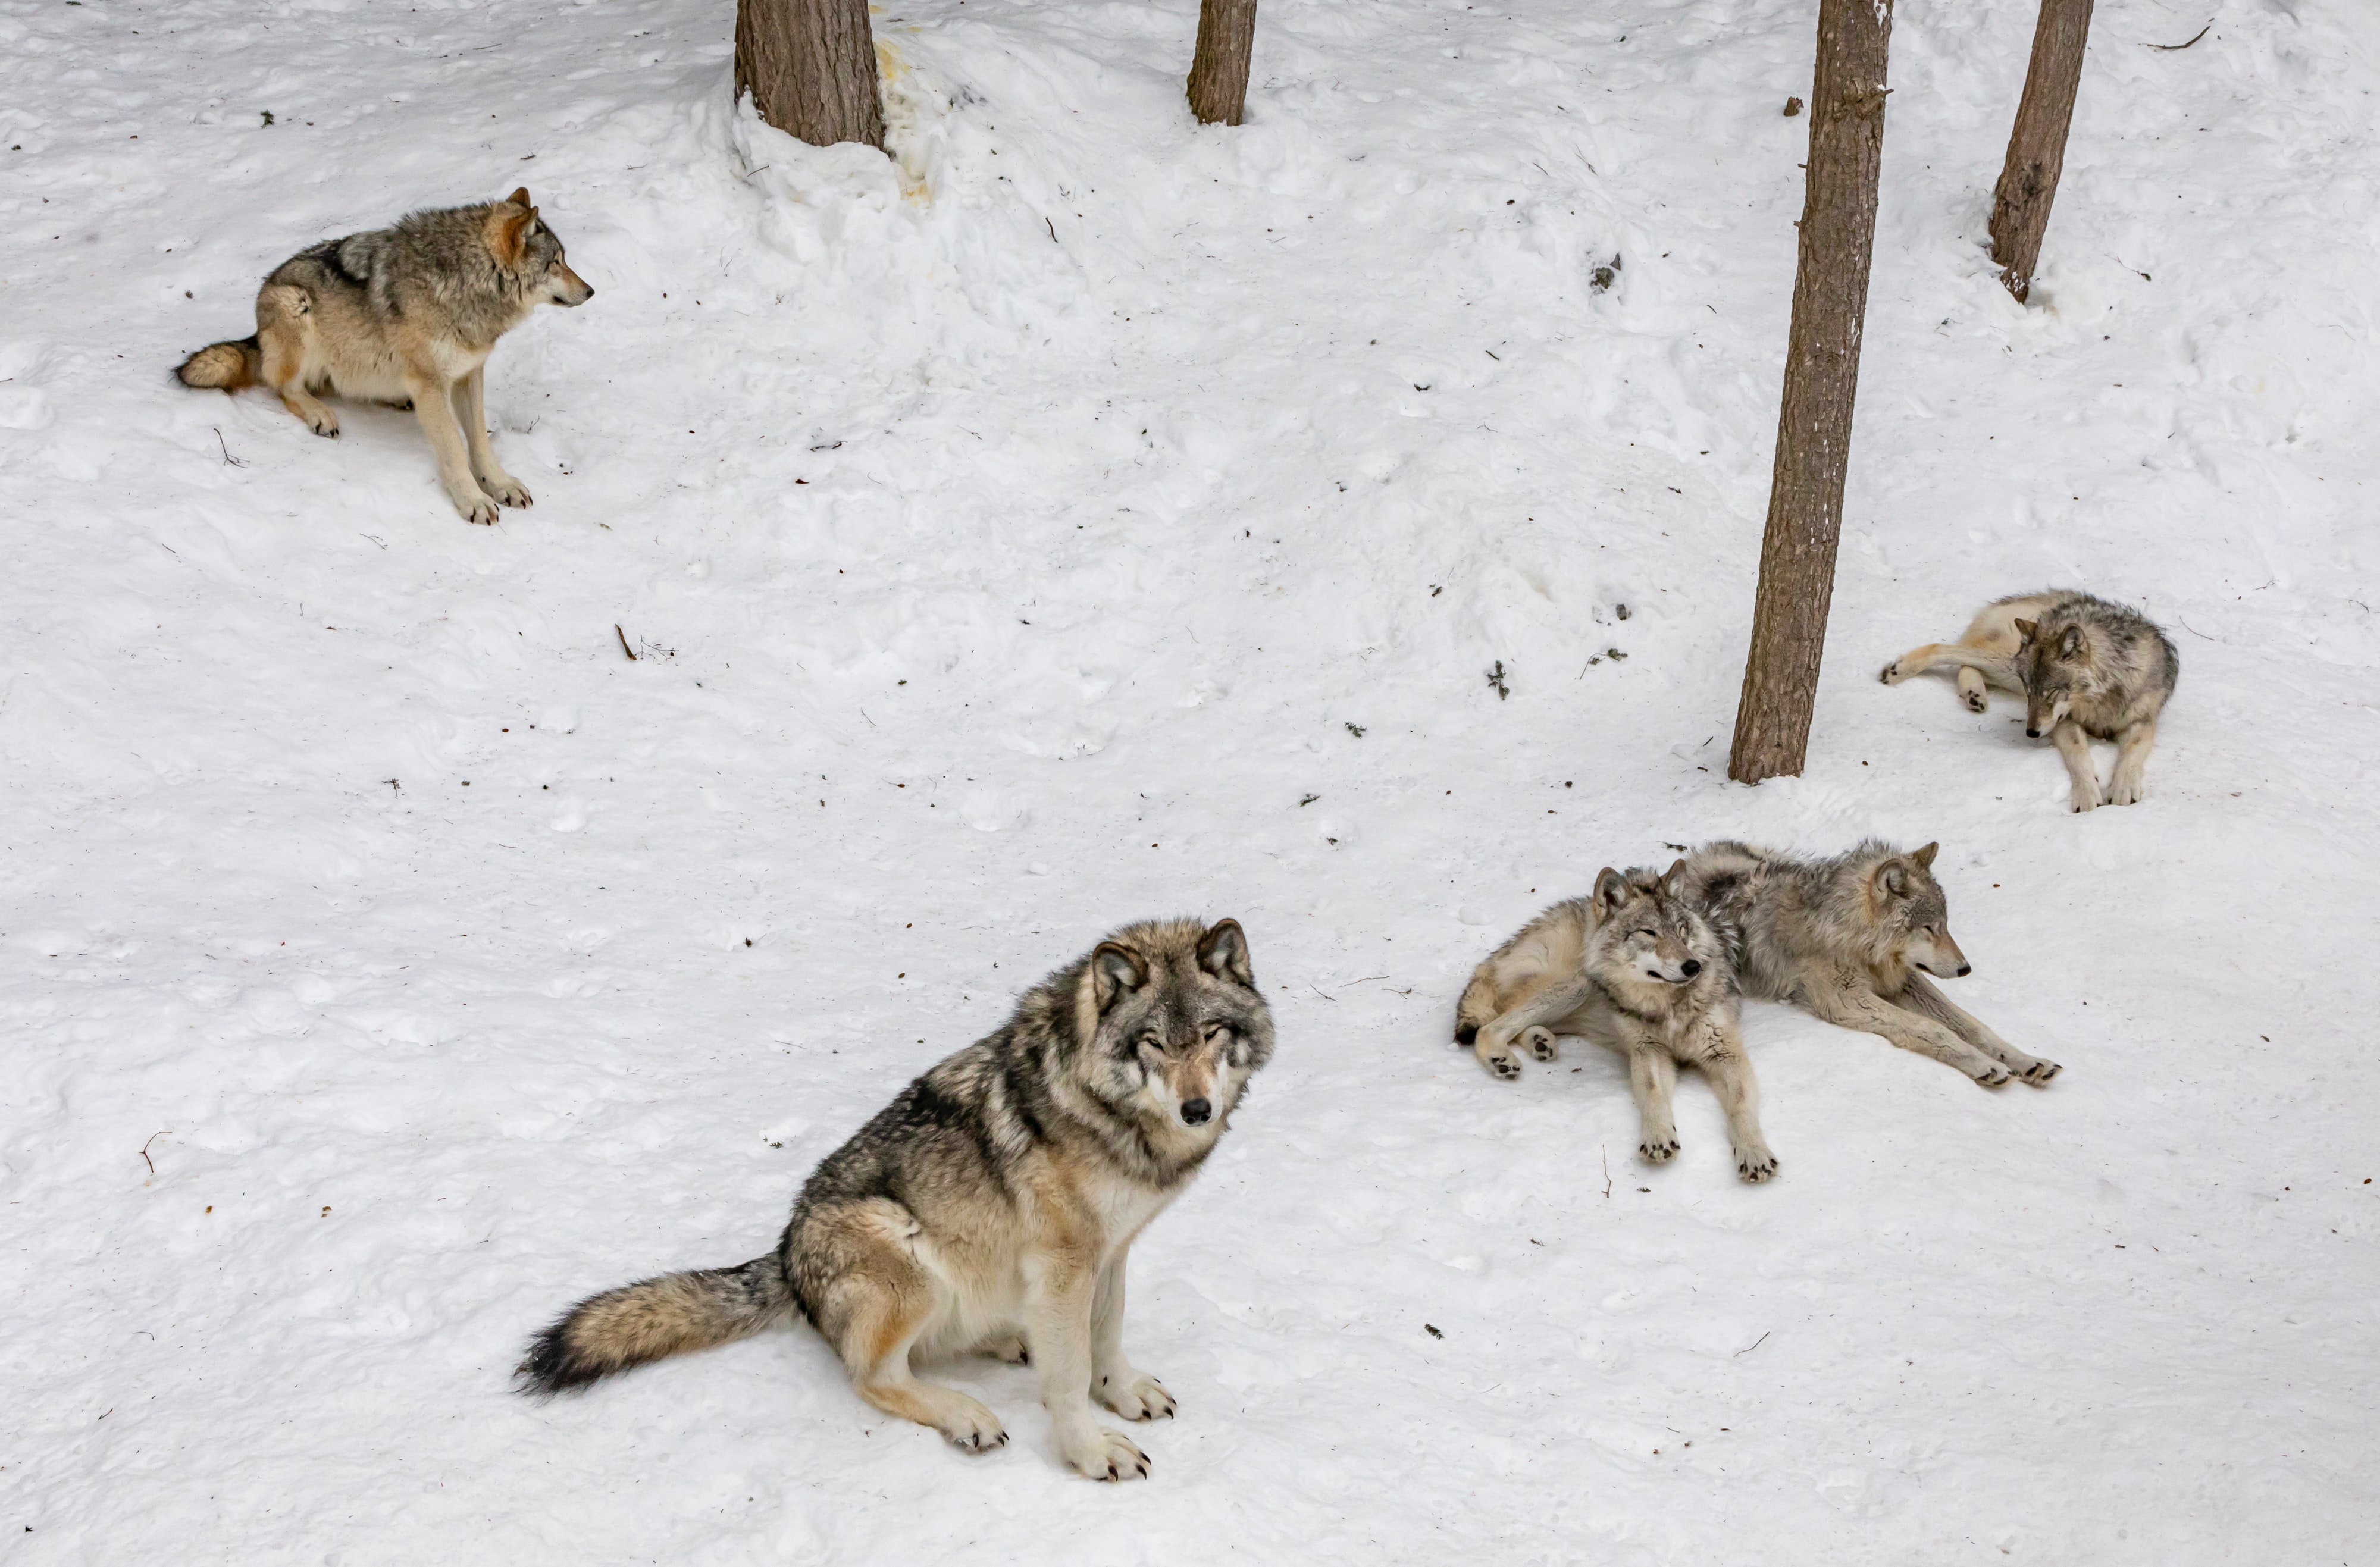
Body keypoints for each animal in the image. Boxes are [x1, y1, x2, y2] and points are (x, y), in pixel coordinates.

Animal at [174, 189, 593, 524]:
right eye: (556, 263)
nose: (591, 291)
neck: (464, 282)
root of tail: (258, 333)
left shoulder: (469, 373)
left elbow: (479, 443)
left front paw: (501, 485)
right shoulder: (432, 384)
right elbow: (456, 451)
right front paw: (472, 501)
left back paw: (394, 399)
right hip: (297, 306)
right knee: (288, 388)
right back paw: (320, 415)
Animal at [517, 918, 1272, 1482]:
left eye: (1211, 1034)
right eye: (1152, 1042)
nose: (1198, 1109)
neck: (1108, 1111)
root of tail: (784, 1259)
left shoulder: (1110, 1252)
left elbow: (1105, 1336)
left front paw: (1121, 1393)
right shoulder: (1067, 1267)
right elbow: (1068, 1375)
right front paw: (1089, 1453)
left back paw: (1008, 1339)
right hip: (906, 1253)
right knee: (871, 1378)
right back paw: (969, 1415)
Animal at [1454, 865, 1777, 1182]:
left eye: (1681, 930)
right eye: (1649, 932)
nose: (1693, 966)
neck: (1667, 1005)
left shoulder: (1726, 1053)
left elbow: (1740, 1106)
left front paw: (1754, 1153)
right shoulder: (1649, 1051)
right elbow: (1652, 1094)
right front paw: (1658, 1138)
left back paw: (1539, 1043)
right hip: (1578, 984)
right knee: (1491, 1026)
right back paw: (1501, 1059)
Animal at [1675, 840, 2058, 1088]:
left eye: (1946, 924)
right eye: (1929, 928)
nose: (1965, 969)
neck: (1848, 932)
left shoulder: (1902, 979)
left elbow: (1971, 1024)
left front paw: (2026, 1061)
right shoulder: (1845, 999)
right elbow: (1932, 1028)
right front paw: (1984, 1064)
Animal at [1880, 590, 2179, 812]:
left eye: (2051, 692)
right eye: (2030, 691)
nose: (2031, 733)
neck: (2099, 701)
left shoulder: (2143, 719)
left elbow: (2133, 750)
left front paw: (2124, 789)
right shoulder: (2062, 722)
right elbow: (2078, 754)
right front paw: (2087, 796)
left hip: (2004, 670)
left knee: (1965, 664)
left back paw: (1974, 695)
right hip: (2006, 664)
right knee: (1947, 649)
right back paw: (1899, 670)